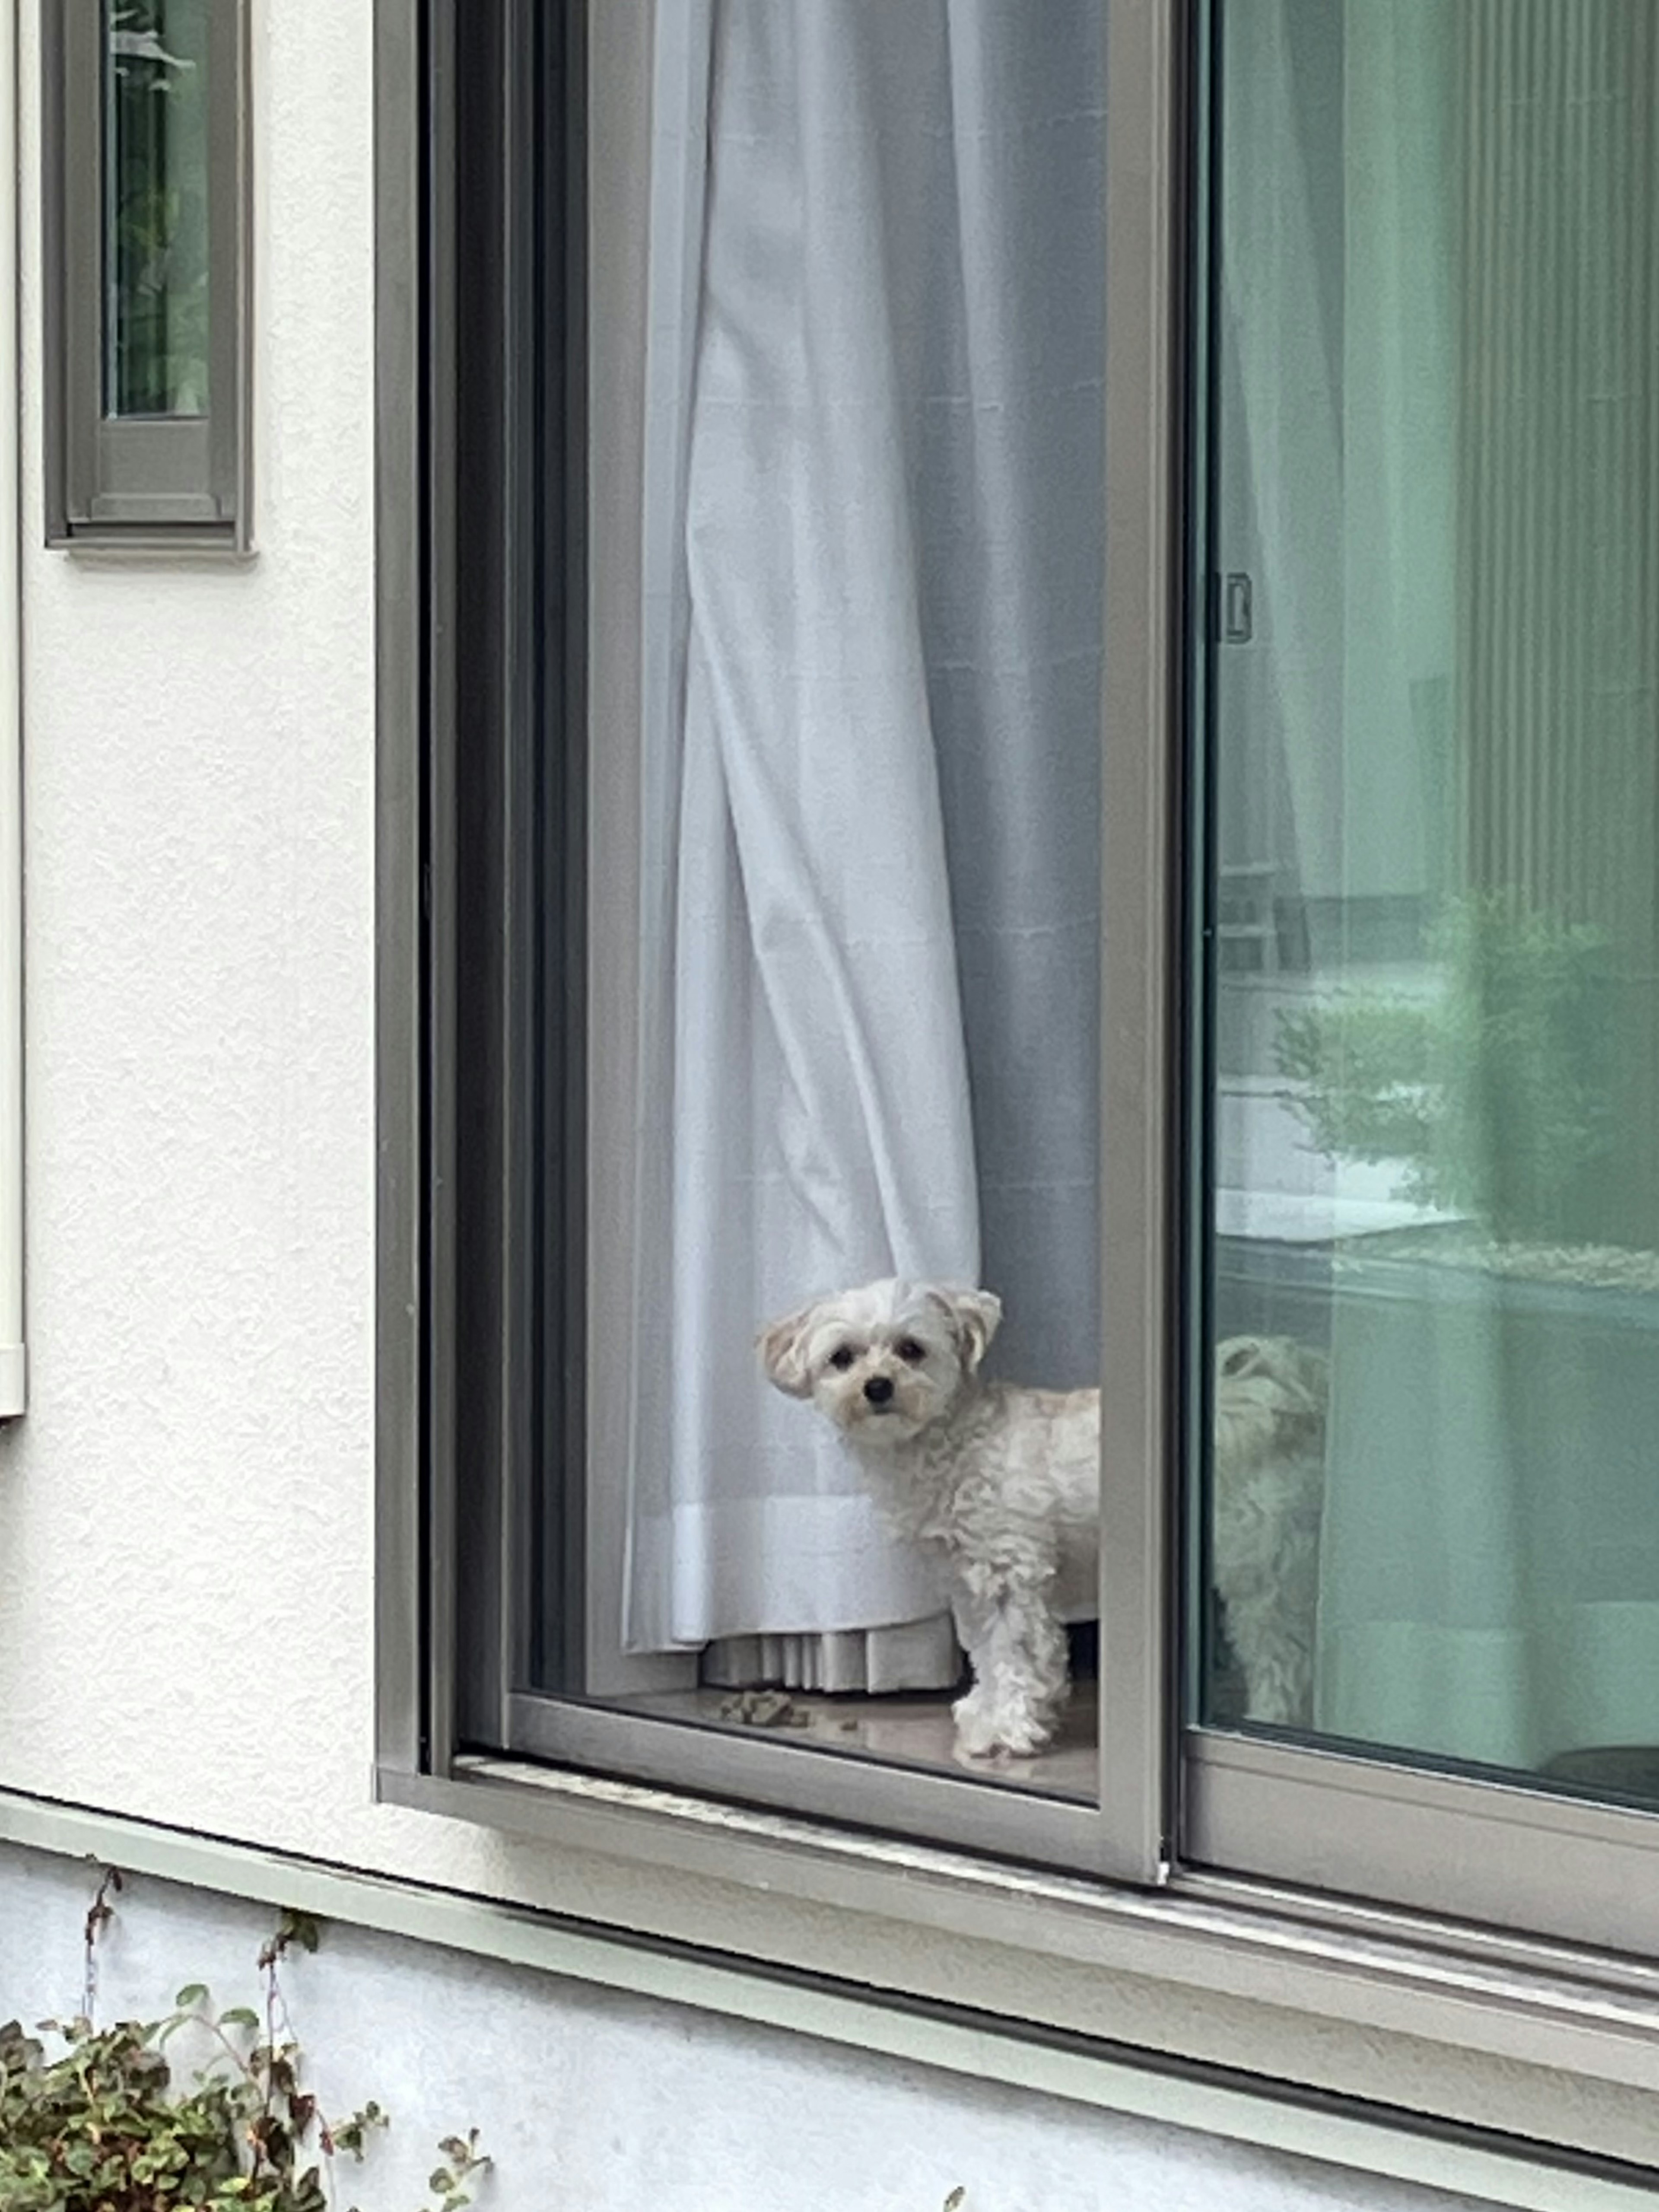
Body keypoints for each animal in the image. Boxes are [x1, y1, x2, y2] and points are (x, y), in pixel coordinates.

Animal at [765, 1283, 1327, 1760]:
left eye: (911, 1349)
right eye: (843, 1357)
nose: (877, 1386)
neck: (952, 1443)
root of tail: (1264, 1402)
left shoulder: (1011, 1573)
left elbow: (1016, 1654)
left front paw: (1011, 1728)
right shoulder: (968, 1582)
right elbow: (987, 1652)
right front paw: (987, 1711)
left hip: (1259, 1568)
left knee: (1283, 1657)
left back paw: (1269, 1716)